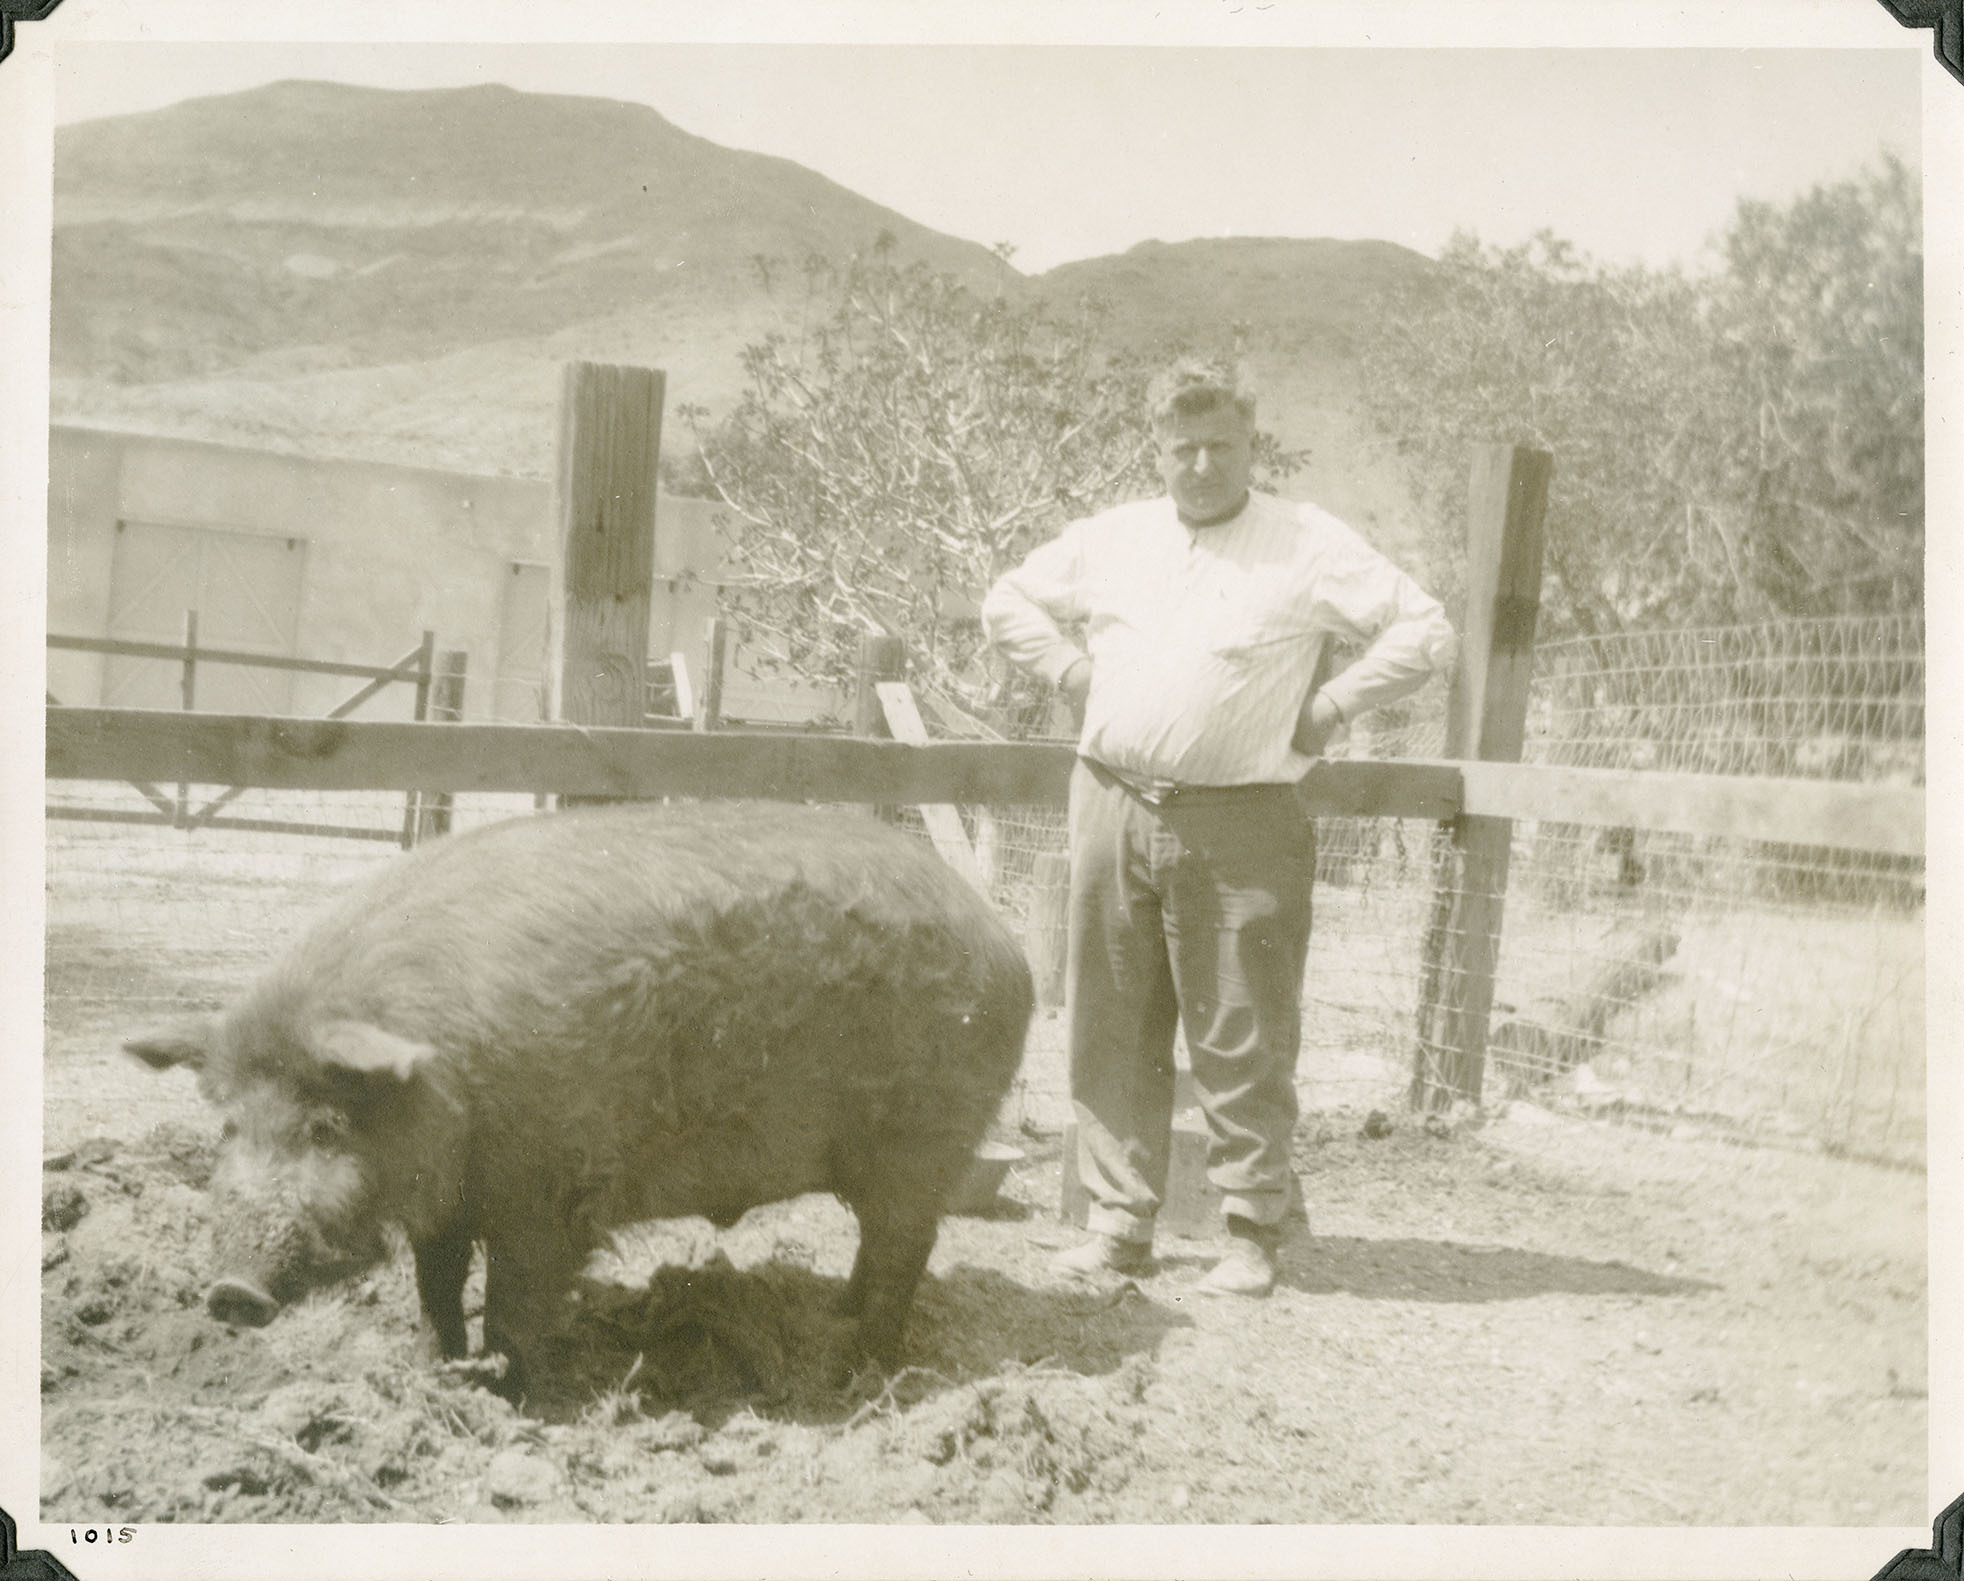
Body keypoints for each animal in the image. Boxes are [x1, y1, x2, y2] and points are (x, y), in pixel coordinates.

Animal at [126, 801, 1033, 1393]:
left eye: (325, 1125)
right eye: (228, 1125)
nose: (230, 1291)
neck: (449, 1078)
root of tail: (1007, 943)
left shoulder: (545, 1191)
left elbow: (516, 1299)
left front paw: (508, 1394)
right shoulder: (452, 1197)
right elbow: (435, 1284)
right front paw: (432, 1373)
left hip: (925, 1141)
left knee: (905, 1248)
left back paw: (859, 1370)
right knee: (878, 1249)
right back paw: (834, 1314)